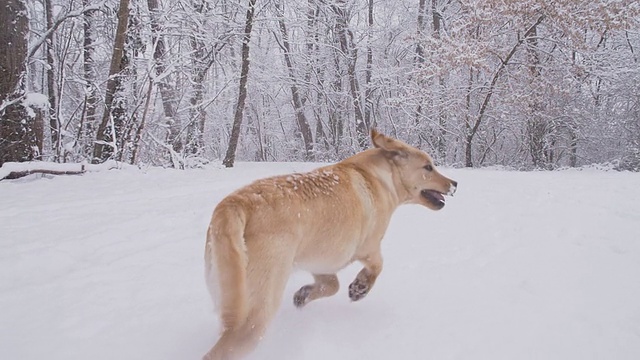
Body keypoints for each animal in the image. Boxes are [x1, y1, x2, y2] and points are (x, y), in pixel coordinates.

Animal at [202, 129, 458, 360]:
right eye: (428, 167)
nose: (455, 183)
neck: (379, 176)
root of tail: (235, 203)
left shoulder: (321, 260)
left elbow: (331, 285)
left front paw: (304, 294)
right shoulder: (369, 246)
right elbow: (377, 266)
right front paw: (359, 288)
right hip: (256, 313)